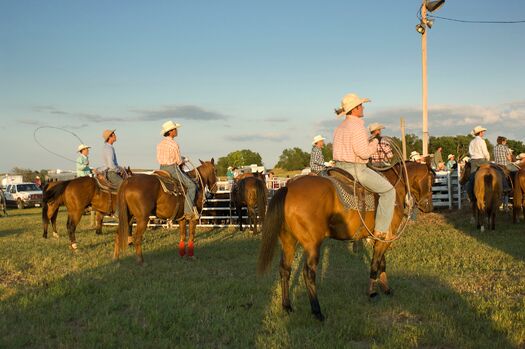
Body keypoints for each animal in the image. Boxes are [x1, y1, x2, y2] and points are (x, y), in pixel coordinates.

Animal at [256, 160, 434, 318]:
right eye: (431, 181)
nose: (429, 207)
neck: (394, 187)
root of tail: (288, 187)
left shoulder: (380, 238)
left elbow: (382, 263)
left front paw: (386, 289)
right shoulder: (387, 237)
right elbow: (375, 264)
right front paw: (373, 292)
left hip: (289, 242)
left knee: (285, 270)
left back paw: (287, 307)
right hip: (312, 245)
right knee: (308, 273)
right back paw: (317, 311)